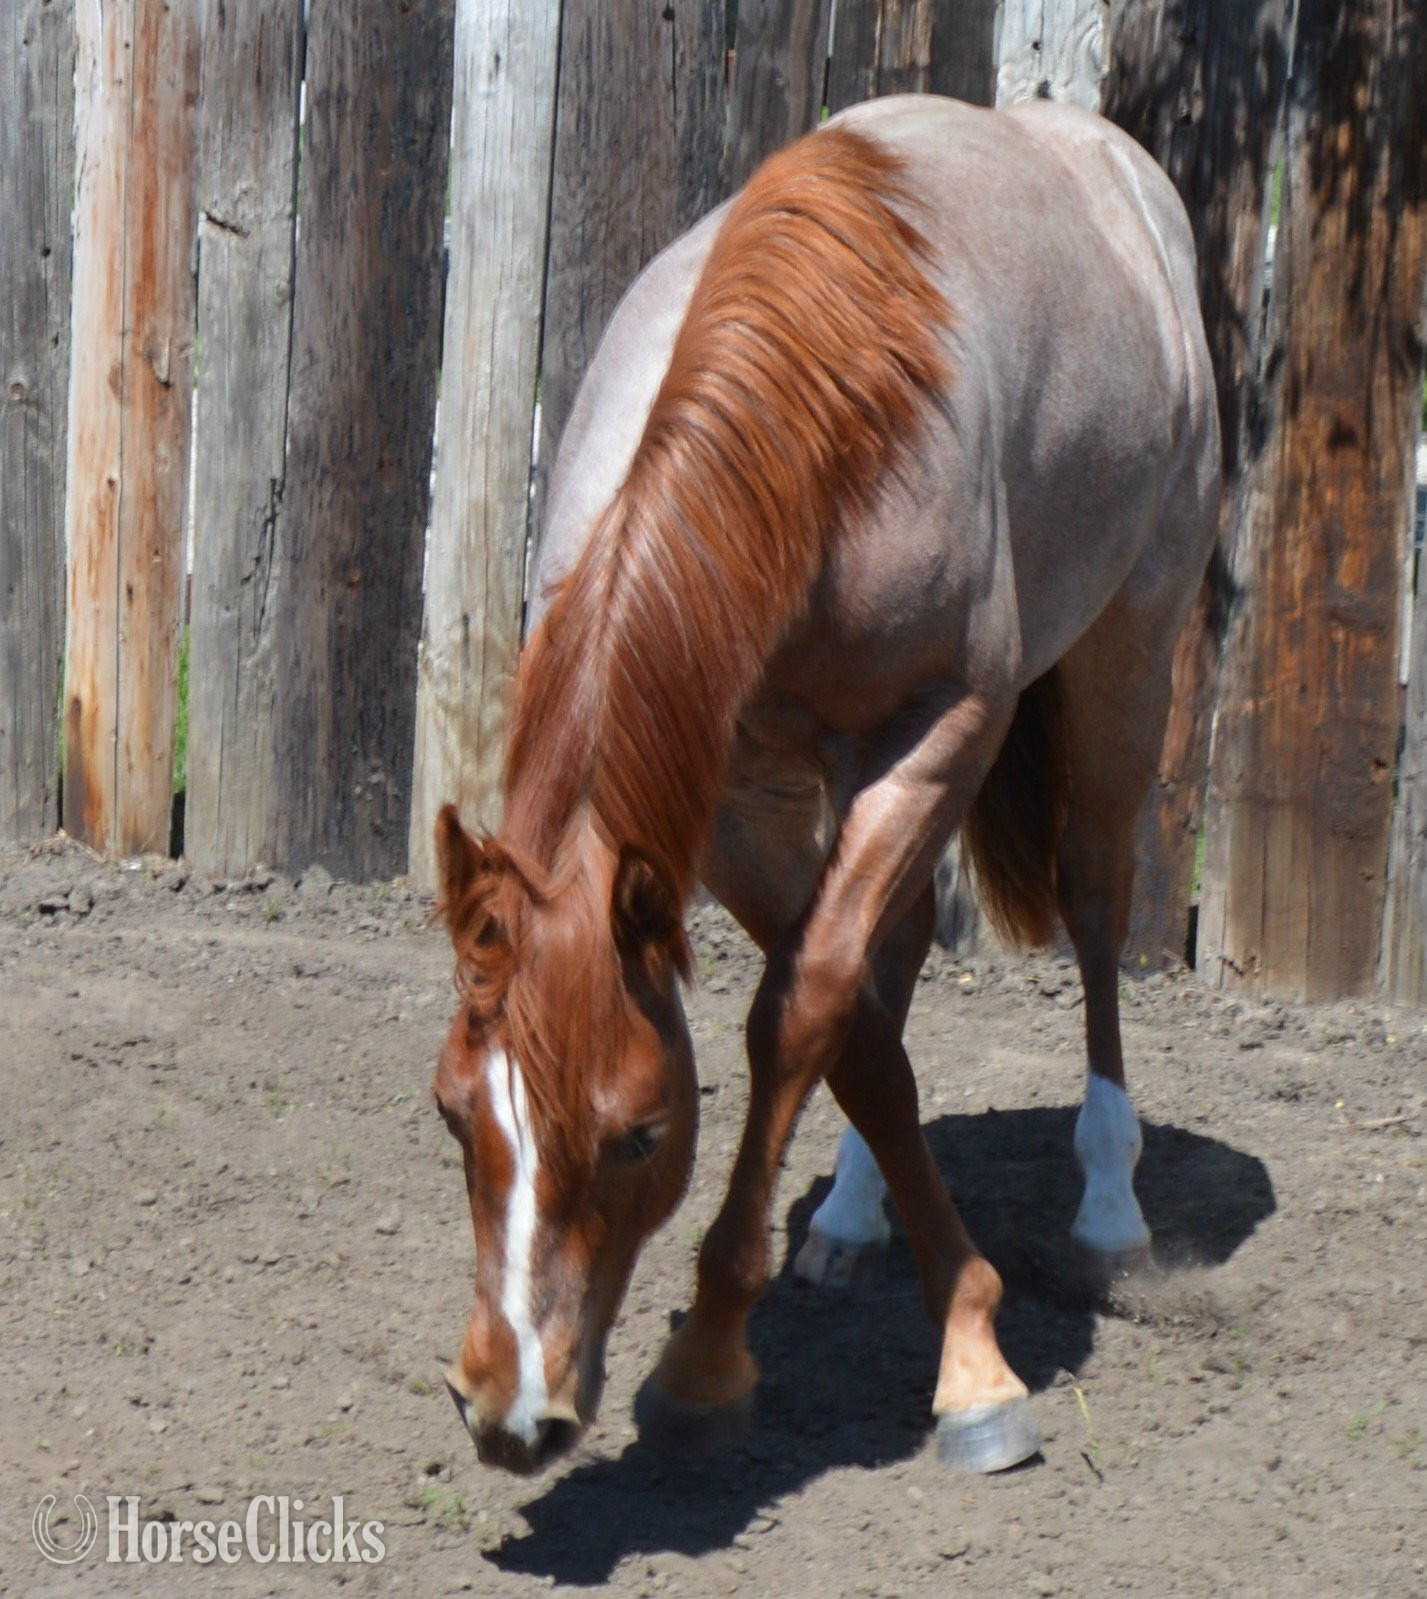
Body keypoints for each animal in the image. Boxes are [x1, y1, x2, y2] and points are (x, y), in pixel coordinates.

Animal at [433, 93, 1219, 1477]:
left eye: (641, 1132)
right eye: (448, 1114)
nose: (508, 1411)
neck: (811, 423)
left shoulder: (939, 724)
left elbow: (801, 1011)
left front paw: (720, 1363)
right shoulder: (728, 799)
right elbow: (836, 1018)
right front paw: (934, 1317)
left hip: (1126, 649)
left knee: (1090, 894)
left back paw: (1109, 1204)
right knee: (886, 951)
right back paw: (853, 1215)